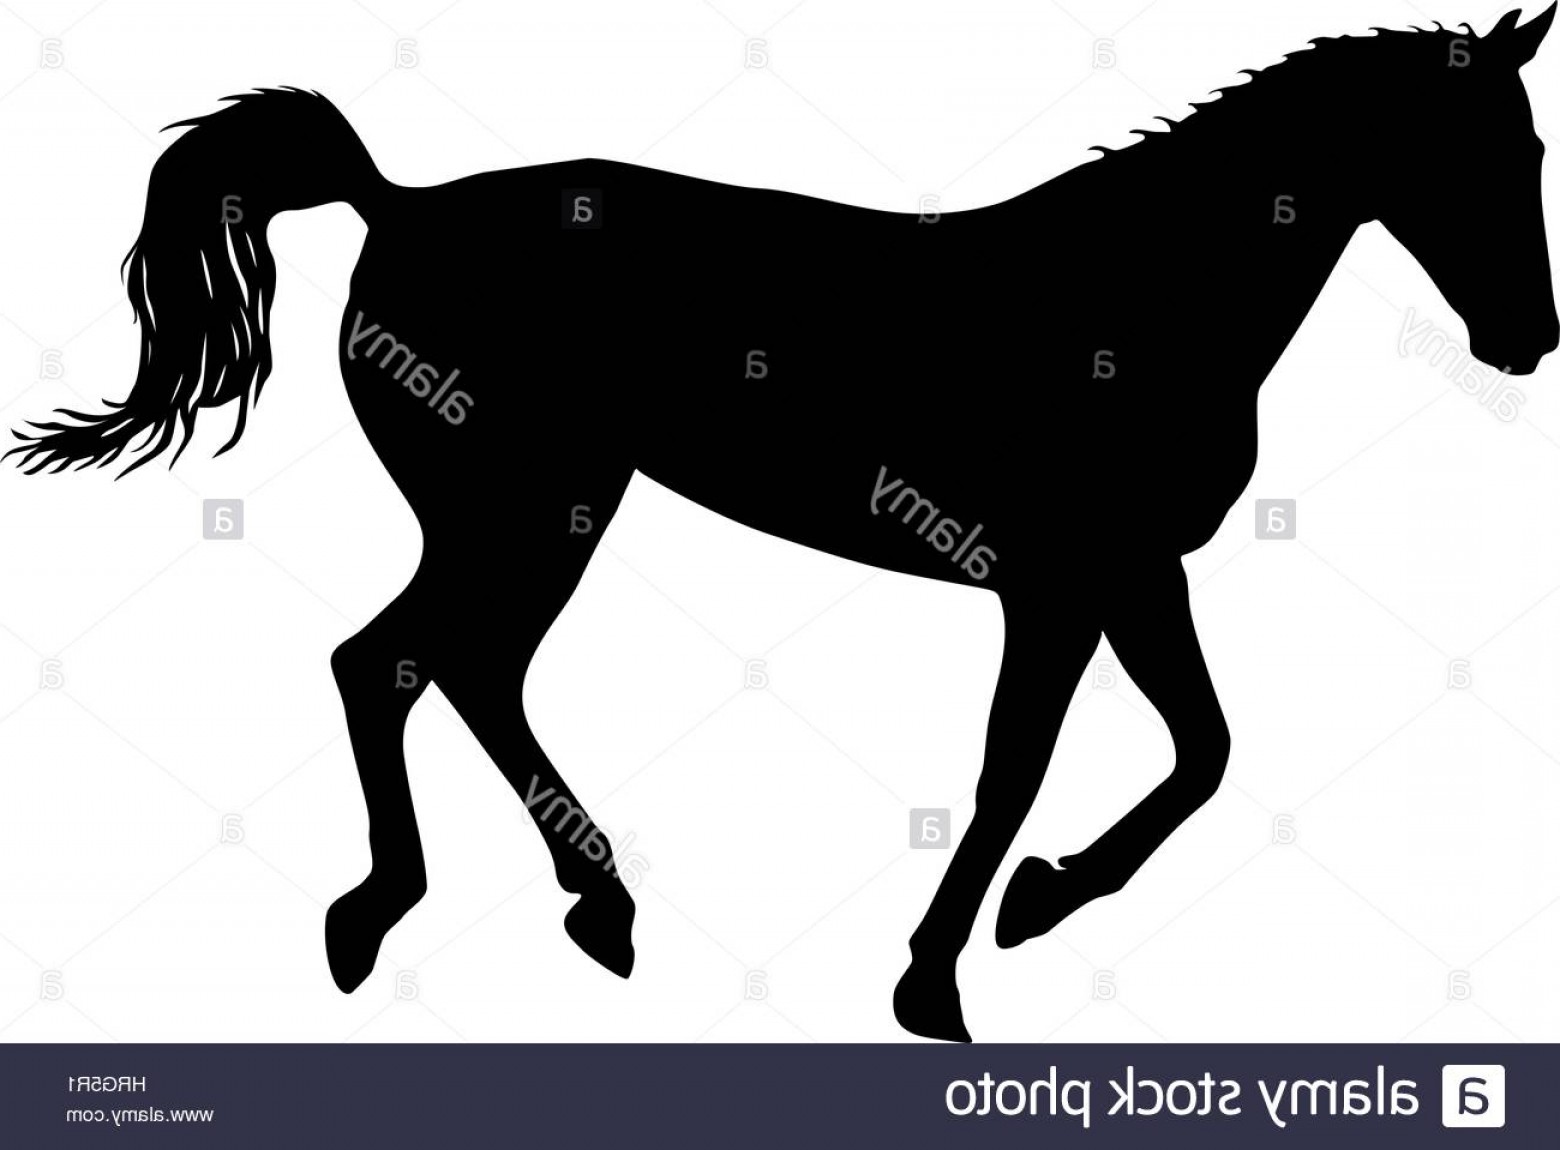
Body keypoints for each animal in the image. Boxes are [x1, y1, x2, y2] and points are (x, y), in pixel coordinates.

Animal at [11, 7, 1558, 1043]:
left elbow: (1204, 751)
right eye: (1476, 151)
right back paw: (394, 913)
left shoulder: (1131, 575)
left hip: (535, 509)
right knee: (398, 661)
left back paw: (587, 907)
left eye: (1531, 142)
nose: (1529, 340)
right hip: (519, 506)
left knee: (450, 667)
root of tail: (399, 206)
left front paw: (1039, 903)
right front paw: (938, 976)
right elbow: (1017, 770)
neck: (1136, 301)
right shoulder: (1059, 586)